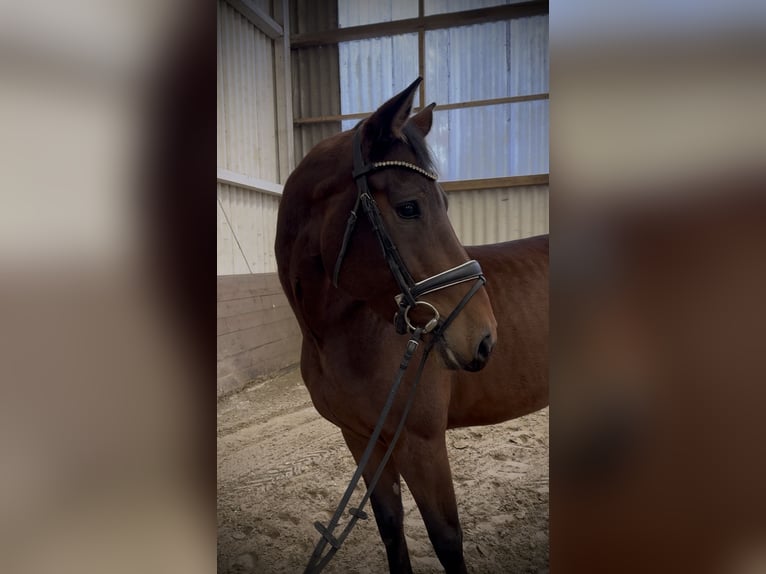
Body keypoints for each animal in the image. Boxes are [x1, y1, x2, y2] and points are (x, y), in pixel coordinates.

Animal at [275, 77, 548, 574]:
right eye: (407, 208)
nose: (484, 339)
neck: (345, 335)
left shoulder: (421, 443)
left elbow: (446, 538)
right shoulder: (362, 438)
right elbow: (389, 523)